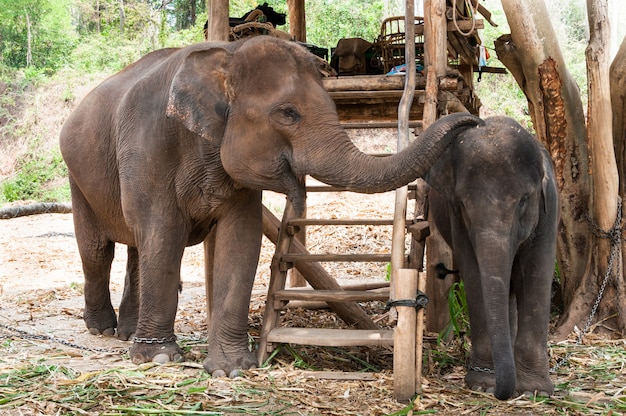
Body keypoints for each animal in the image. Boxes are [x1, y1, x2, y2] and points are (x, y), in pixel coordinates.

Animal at [58, 35, 478, 376]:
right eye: (288, 113)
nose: (470, 120)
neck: (224, 55)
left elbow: (240, 241)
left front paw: (232, 368)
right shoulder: (151, 147)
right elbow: (164, 235)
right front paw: (160, 359)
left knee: (135, 248)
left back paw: (126, 332)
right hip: (77, 177)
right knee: (99, 250)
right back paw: (102, 329)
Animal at [424, 114, 556, 400]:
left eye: (523, 200)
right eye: (463, 204)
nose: (501, 392)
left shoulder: (549, 209)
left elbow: (537, 274)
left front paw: (535, 390)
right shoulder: (457, 220)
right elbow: (475, 276)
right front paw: (483, 384)